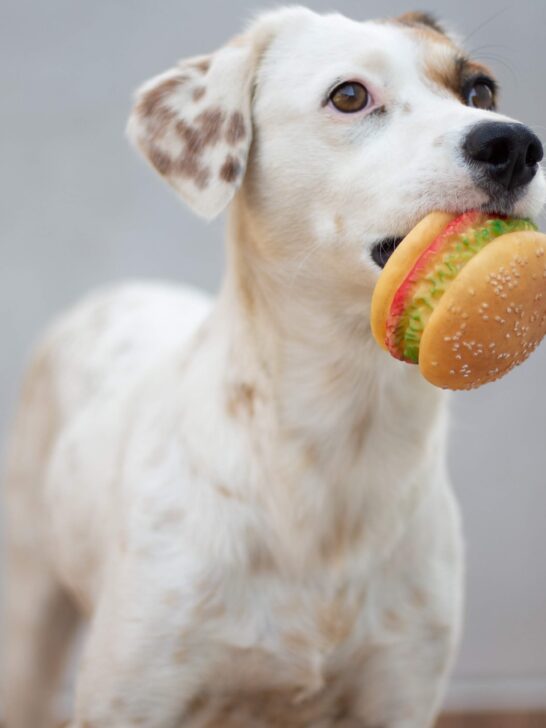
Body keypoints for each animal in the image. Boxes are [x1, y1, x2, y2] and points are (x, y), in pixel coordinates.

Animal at [3, 7, 540, 728]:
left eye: (480, 89)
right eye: (350, 95)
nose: (514, 145)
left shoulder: (401, 689)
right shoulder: (134, 693)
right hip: (29, 616)